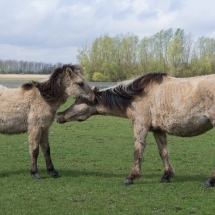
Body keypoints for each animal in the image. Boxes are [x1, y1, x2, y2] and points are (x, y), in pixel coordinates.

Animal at [55, 72, 215, 186]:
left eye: (79, 101)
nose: (59, 115)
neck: (137, 95)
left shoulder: (140, 125)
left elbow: (138, 151)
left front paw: (131, 177)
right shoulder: (158, 130)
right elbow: (163, 152)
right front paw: (166, 176)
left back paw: (210, 181)